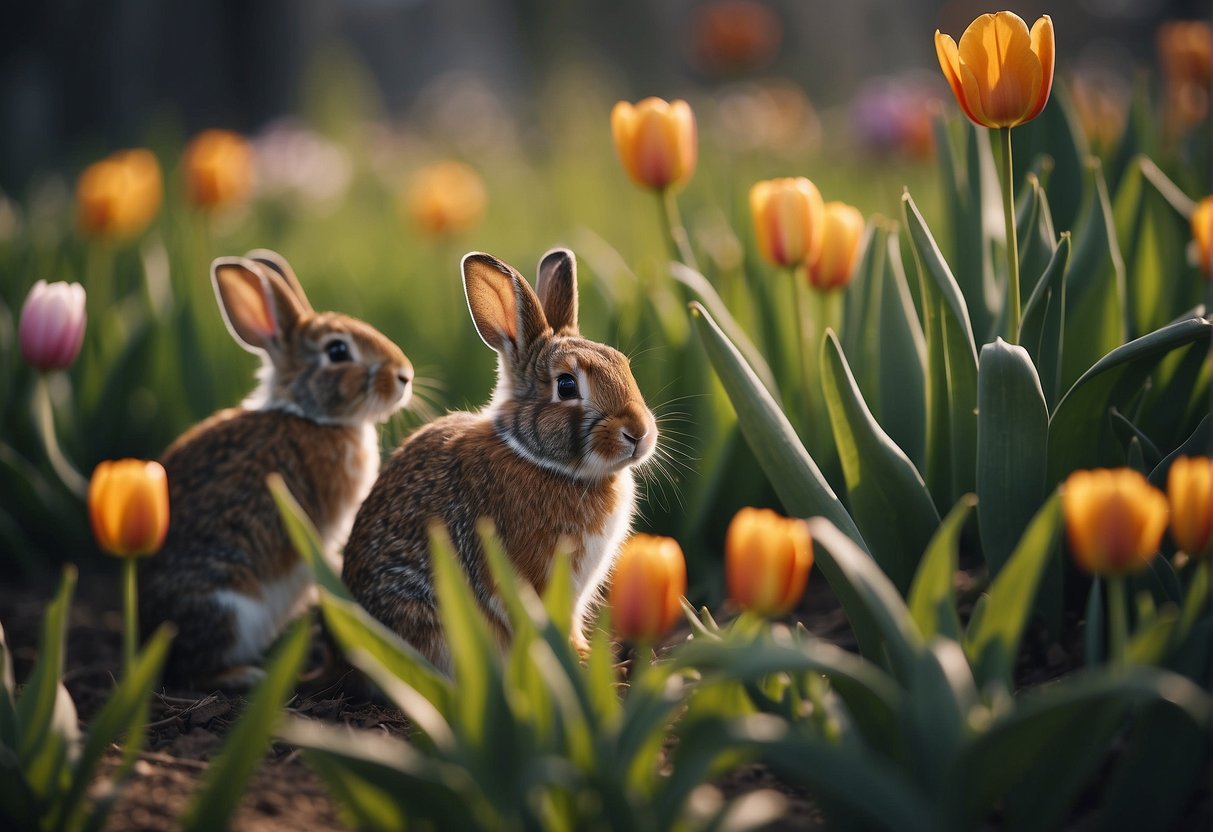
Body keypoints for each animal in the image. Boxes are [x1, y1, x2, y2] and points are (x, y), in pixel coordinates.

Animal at [140, 249, 413, 689]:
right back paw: (245, 674)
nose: (405, 375)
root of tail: (151, 636)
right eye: (338, 352)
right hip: (230, 608)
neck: (312, 417)